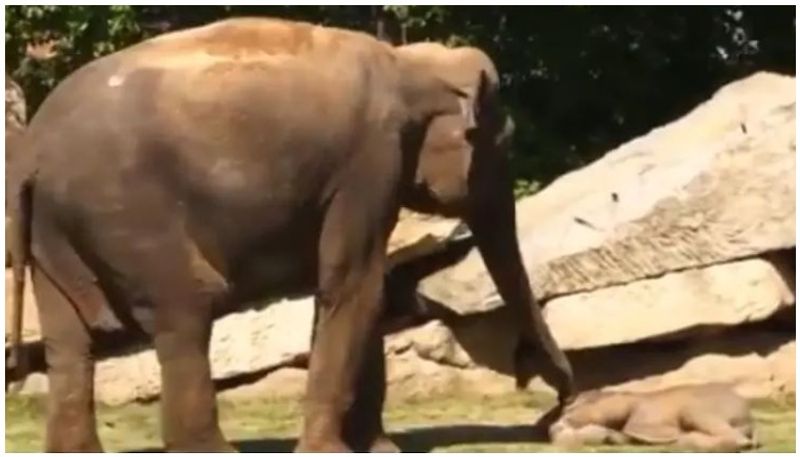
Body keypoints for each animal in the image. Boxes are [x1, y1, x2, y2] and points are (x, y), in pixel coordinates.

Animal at [3, 16, 572, 452]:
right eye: (503, 142)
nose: (556, 410)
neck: (409, 62)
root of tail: (33, 151)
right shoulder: (369, 163)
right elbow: (354, 286)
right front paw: (331, 452)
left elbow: (355, 290)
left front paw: (379, 450)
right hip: (126, 214)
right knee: (184, 310)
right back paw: (217, 452)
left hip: (52, 232)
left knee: (69, 341)